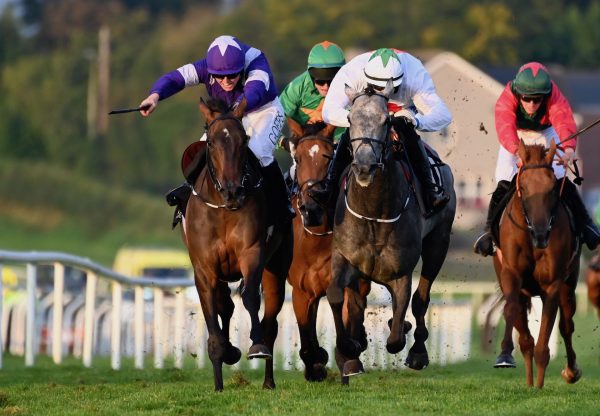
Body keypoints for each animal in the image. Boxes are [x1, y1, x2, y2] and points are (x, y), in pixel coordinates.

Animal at [184, 97, 294, 390]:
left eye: (244, 140)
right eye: (211, 142)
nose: (233, 191)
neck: (223, 209)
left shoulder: (251, 253)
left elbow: (250, 297)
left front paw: (255, 345)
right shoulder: (204, 268)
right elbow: (213, 309)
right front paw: (221, 365)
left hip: (277, 268)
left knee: (271, 321)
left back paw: (268, 381)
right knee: (226, 306)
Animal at [284, 121, 370, 384]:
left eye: (328, 156)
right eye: (298, 158)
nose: (311, 208)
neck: (316, 241)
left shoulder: (346, 283)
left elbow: (346, 314)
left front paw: (349, 355)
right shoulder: (302, 291)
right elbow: (305, 334)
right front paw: (315, 363)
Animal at [492, 141, 580, 388]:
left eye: (552, 188)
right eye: (523, 186)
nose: (541, 235)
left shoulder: (553, 284)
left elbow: (545, 341)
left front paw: (539, 388)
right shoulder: (510, 276)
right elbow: (512, 311)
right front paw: (504, 356)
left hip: (569, 285)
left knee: (567, 325)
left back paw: (569, 372)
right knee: (526, 338)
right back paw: (529, 381)